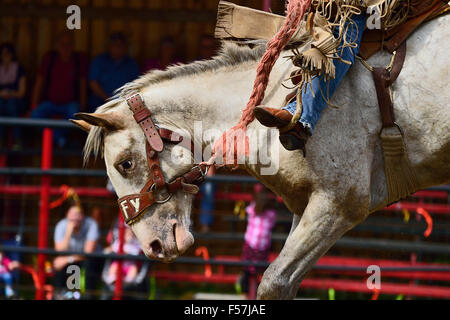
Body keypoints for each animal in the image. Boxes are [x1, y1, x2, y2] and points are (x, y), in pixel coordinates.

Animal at [74, 14, 450, 300]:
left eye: (125, 163)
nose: (153, 246)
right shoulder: (305, 208)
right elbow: (285, 282)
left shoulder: (339, 203)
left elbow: (273, 283)